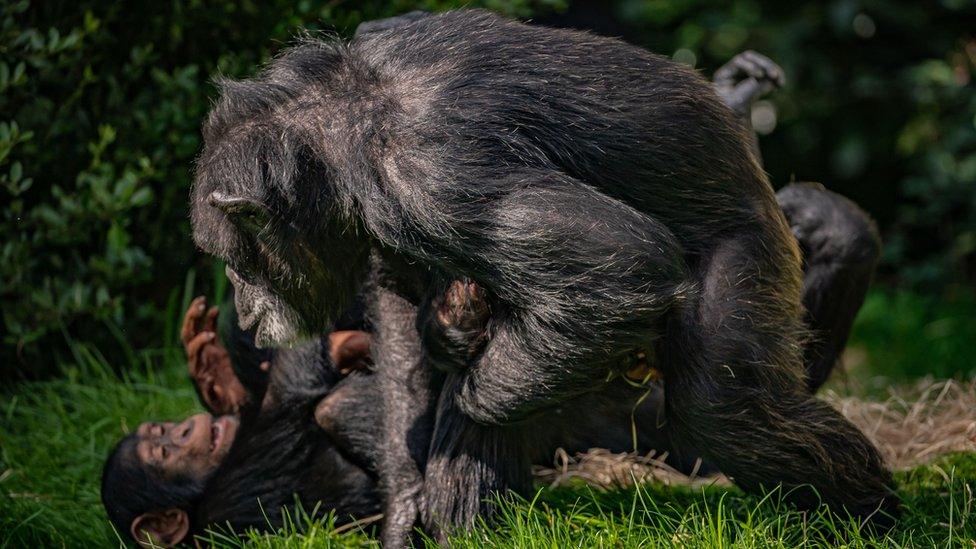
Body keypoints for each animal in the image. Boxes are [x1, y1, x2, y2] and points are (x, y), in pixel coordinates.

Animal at [191, 9, 900, 544]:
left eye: (237, 261)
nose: (244, 308)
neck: (342, 131)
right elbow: (396, 315)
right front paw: (405, 501)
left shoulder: (433, 171)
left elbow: (624, 257)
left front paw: (473, 391)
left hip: (750, 251)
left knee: (722, 410)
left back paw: (872, 517)